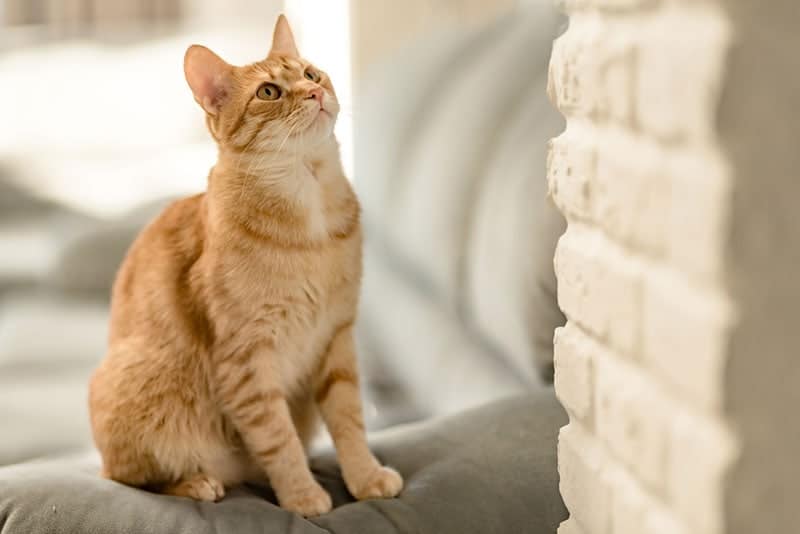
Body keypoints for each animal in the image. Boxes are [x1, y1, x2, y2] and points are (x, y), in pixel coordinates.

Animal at [88, 15, 404, 520]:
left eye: (311, 73)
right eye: (269, 92)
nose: (314, 92)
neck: (310, 214)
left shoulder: (336, 336)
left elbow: (350, 419)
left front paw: (365, 476)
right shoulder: (247, 359)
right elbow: (279, 439)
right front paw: (301, 496)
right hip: (138, 387)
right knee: (128, 478)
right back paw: (198, 482)